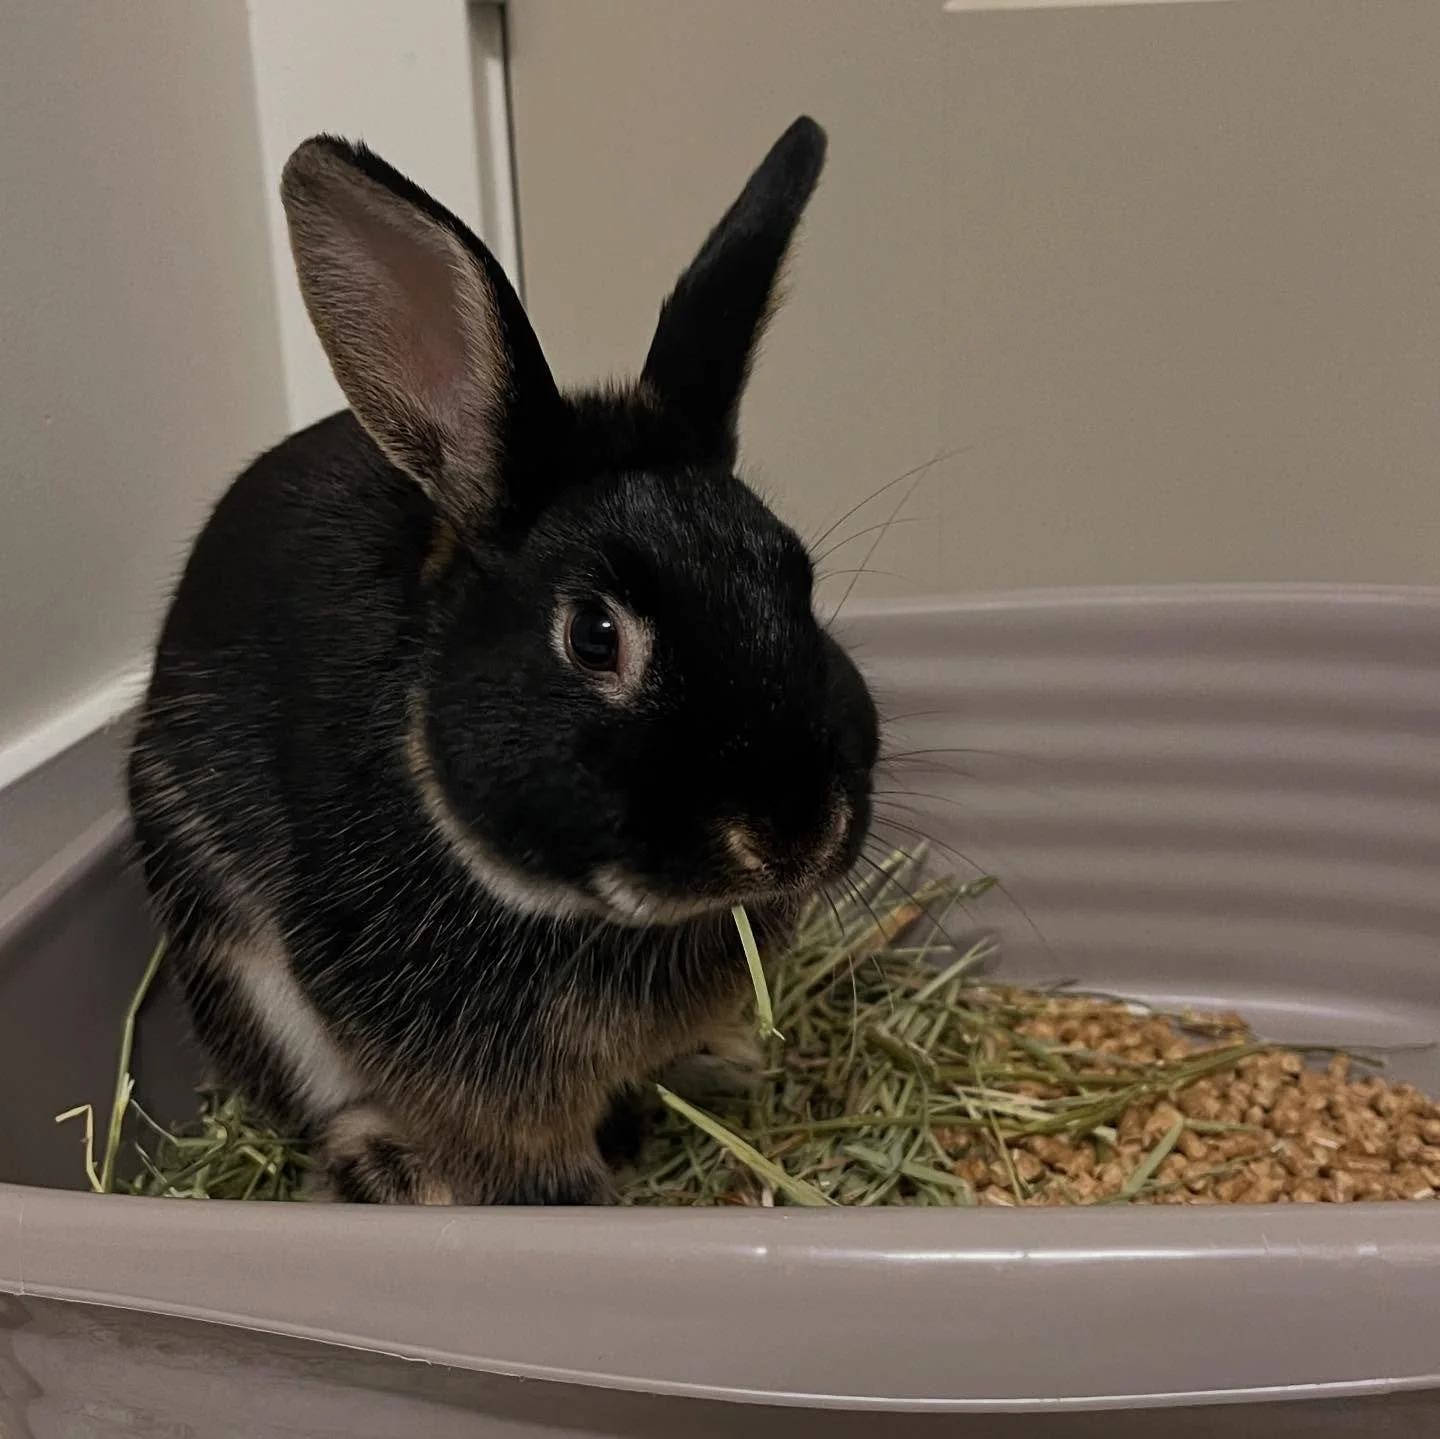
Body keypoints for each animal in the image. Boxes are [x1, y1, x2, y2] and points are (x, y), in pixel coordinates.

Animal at [126, 115, 879, 1204]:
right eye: (594, 635)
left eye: (799, 580)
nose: (796, 833)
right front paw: (569, 1194)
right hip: (233, 957)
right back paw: (384, 1164)